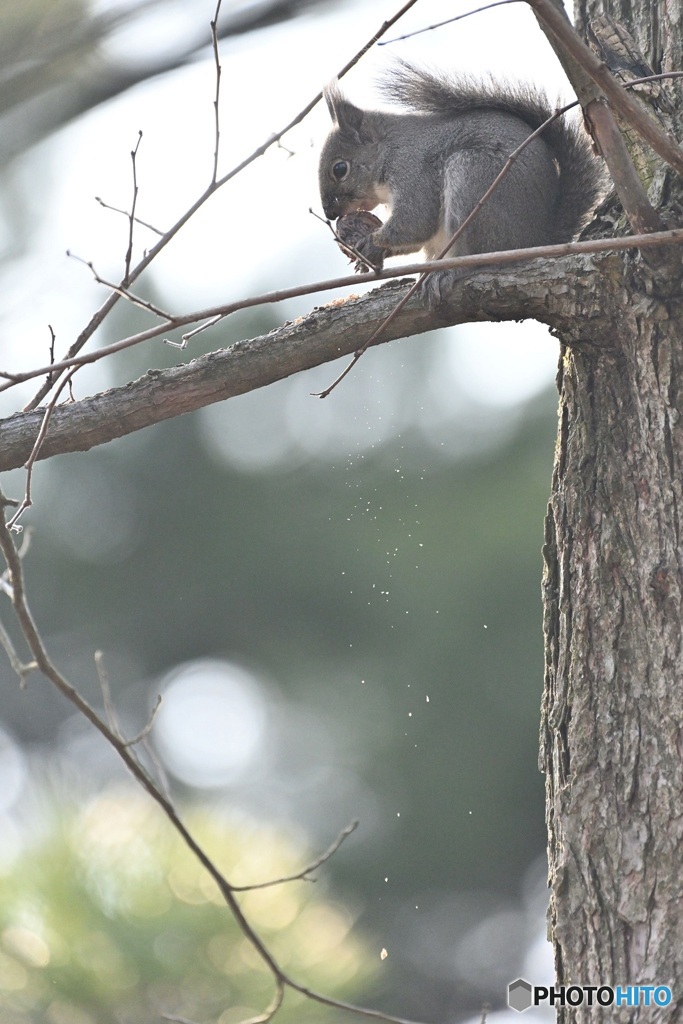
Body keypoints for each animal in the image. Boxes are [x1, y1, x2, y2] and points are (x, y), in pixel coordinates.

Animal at [317, 60, 606, 305]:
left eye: (340, 169)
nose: (330, 213)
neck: (389, 149)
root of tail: (538, 239)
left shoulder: (412, 171)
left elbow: (415, 223)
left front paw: (371, 243)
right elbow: (415, 238)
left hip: (471, 176)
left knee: (475, 258)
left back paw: (450, 272)